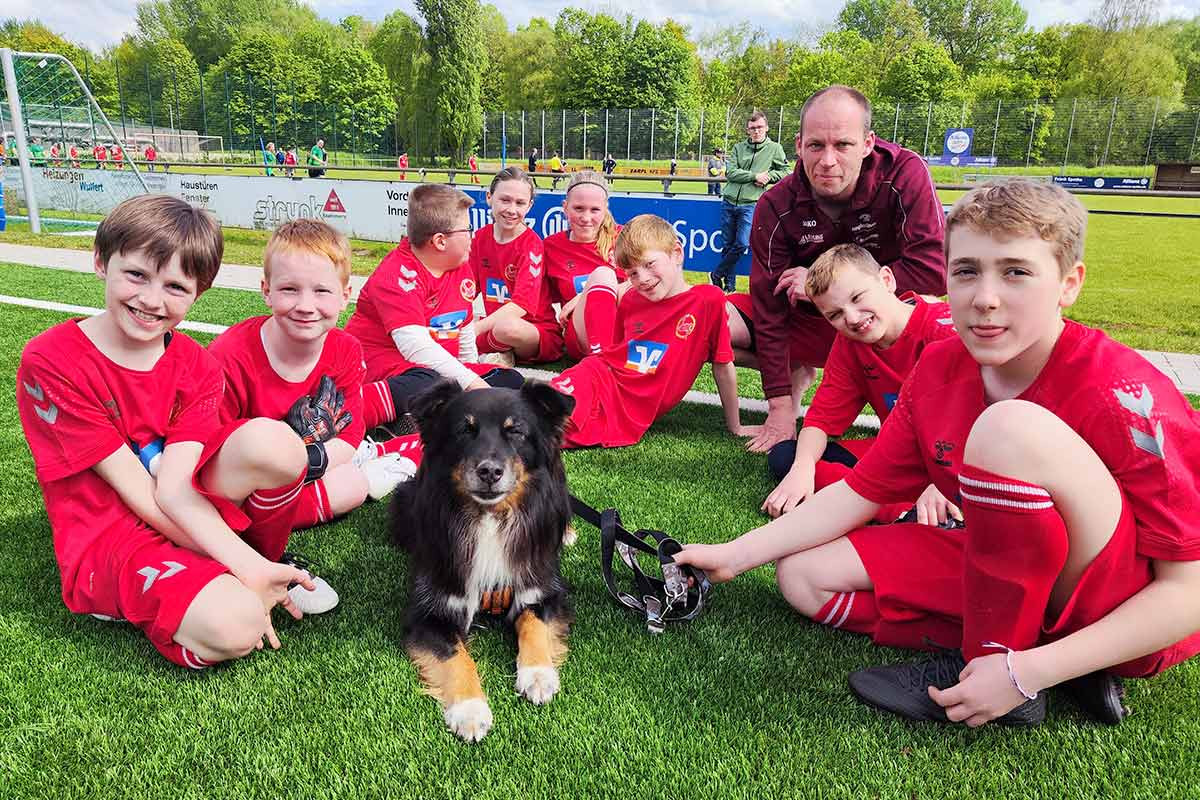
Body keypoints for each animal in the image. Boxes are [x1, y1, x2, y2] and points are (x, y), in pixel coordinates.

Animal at [393, 379, 576, 743]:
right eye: (465, 430)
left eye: (516, 431)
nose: (490, 471)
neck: (491, 516)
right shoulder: (429, 611)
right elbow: (456, 656)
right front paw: (470, 710)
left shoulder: (543, 589)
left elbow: (533, 623)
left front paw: (538, 674)